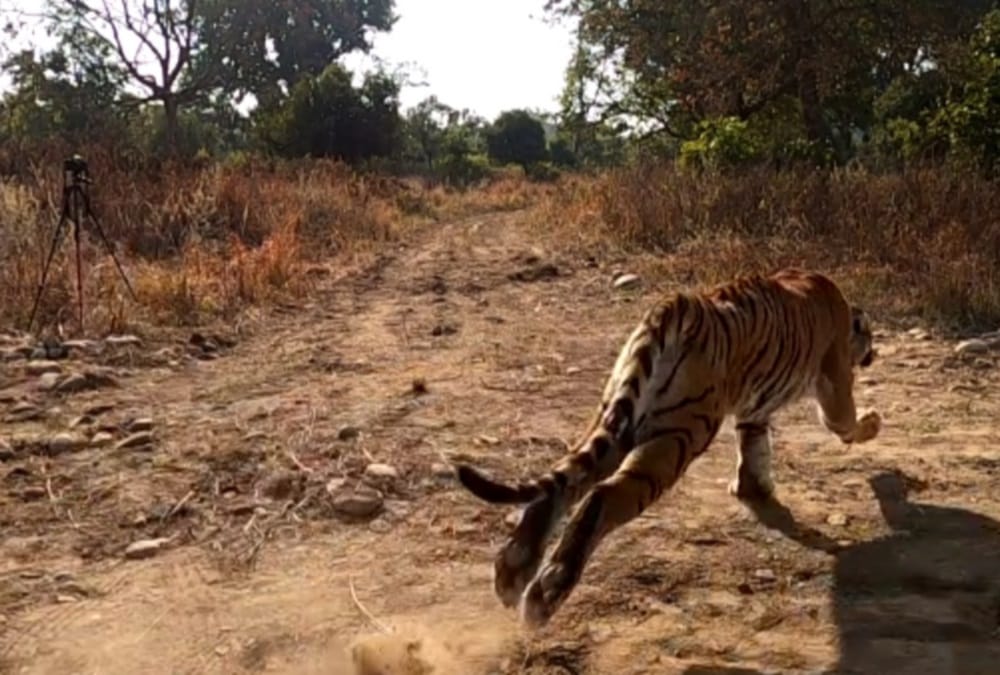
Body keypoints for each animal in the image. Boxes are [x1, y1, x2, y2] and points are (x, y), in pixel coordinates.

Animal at [454, 268, 881, 628]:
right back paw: (546, 594)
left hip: (618, 416)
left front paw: (753, 489)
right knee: (601, 497)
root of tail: (678, 305)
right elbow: (844, 423)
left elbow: (755, 447)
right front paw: (873, 423)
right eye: (871, 338)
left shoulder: (754, 408)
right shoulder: (834, 386)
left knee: (559, 486)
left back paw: (512, 572)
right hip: (678, 435)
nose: (874, 354)